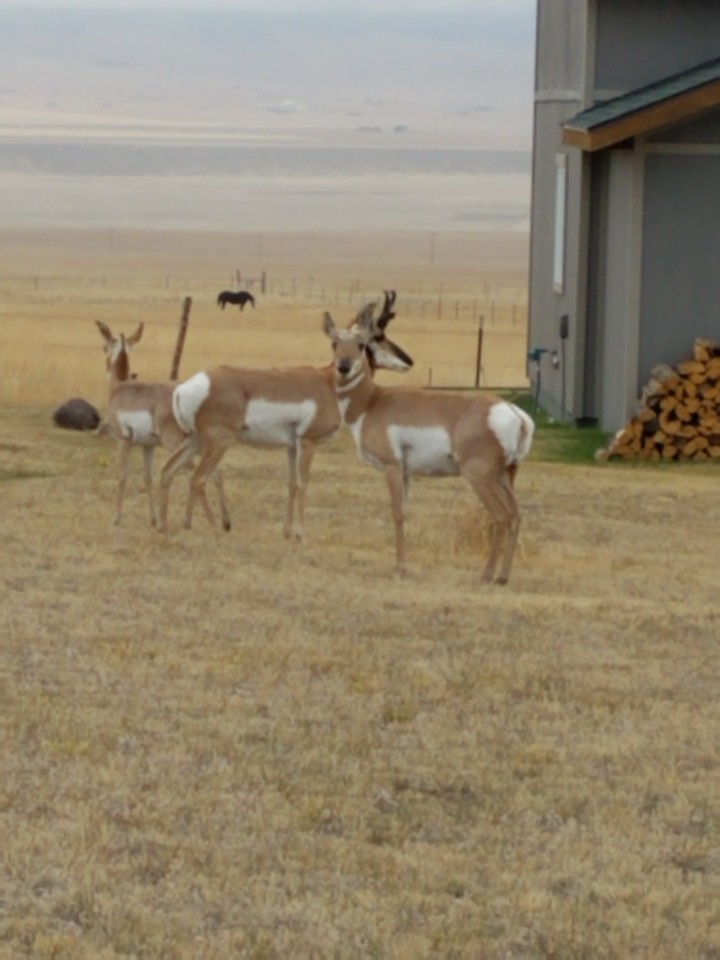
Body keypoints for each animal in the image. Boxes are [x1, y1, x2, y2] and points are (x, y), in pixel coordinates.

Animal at [96, 320, 231, 530]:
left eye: (104, 346)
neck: (120, 388)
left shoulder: (124, 440)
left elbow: (122, 475)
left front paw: (116, 518)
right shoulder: (148, 446)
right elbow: (147, 478)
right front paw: (152, 519)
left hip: (176, 445)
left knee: (190, 474)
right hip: (200, 447)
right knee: (215, 474)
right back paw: (221, 522)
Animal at [156, 292, 412, 537]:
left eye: (361, 343)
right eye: (377, 336)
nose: (409, 361)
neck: (329, 383)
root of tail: (187, 386)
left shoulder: (291, 446)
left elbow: (291, 484)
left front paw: (288, 532)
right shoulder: (308, 442)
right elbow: (304, 483)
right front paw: (301, 534)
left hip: (195, 440)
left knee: (168, 470)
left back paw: (164, 526)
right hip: (219, 443)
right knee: (198, 479)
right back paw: (216, 529)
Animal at [323, 308, 535, 584]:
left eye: (362, 344)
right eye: (334, 343)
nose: (343, 367)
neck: (372, 402)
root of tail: (514, 413)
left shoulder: (392, 468)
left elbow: (397, 513)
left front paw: (400, 568)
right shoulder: (406, 473)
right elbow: (404, 511)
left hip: (480, 476)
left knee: (501, 516)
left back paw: (487, 574)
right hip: (505, 475)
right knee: (516, 516)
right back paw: (503, 577)